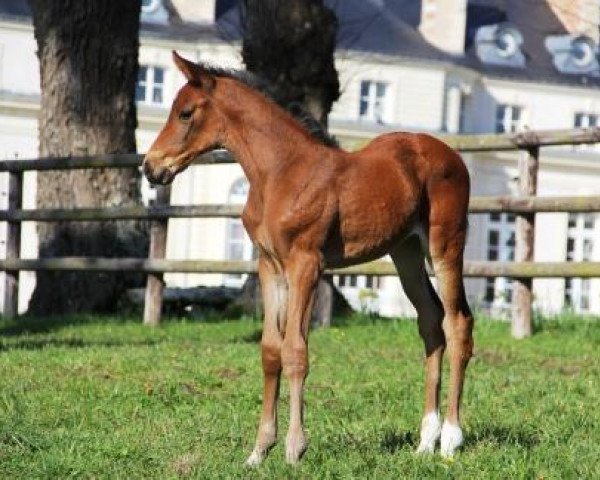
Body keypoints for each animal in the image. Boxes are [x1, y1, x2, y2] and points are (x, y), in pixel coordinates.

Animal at [144, 52, 474, 464]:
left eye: (186, 113)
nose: (150, 167)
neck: (279, 173)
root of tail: (453, 156)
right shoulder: (270, 266)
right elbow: (271, 350)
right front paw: (258, 451)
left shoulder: (306, 264)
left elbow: (296, 351)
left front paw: (293, 448)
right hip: (406, 252)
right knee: (431, 322)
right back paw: (425, 440)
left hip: (445, 245)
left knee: (457, 322)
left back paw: (450, 439)